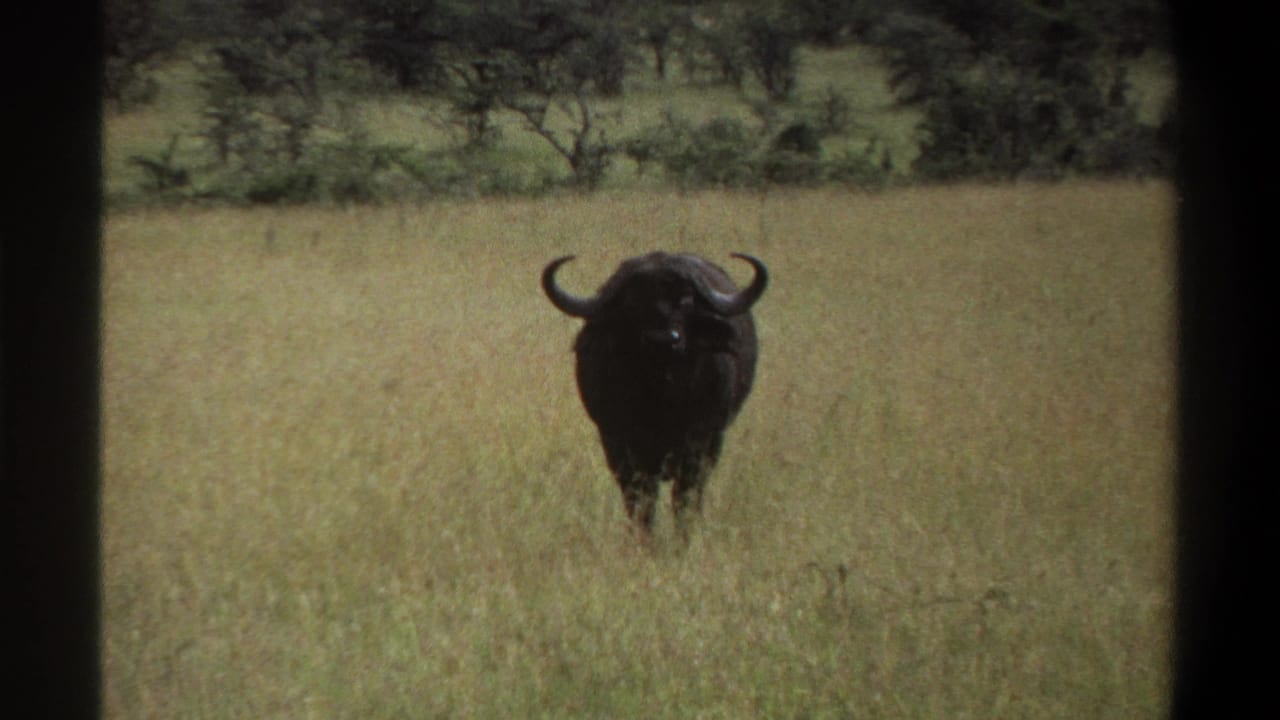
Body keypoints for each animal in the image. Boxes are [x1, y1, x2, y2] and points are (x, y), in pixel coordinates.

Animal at [542, 251, 768, 538]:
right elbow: (641, 502)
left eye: (686, 300)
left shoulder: (698, 444)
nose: (663, 340)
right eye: (632, 302)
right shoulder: (619, 445)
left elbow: (684, 500)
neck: (662, 397)